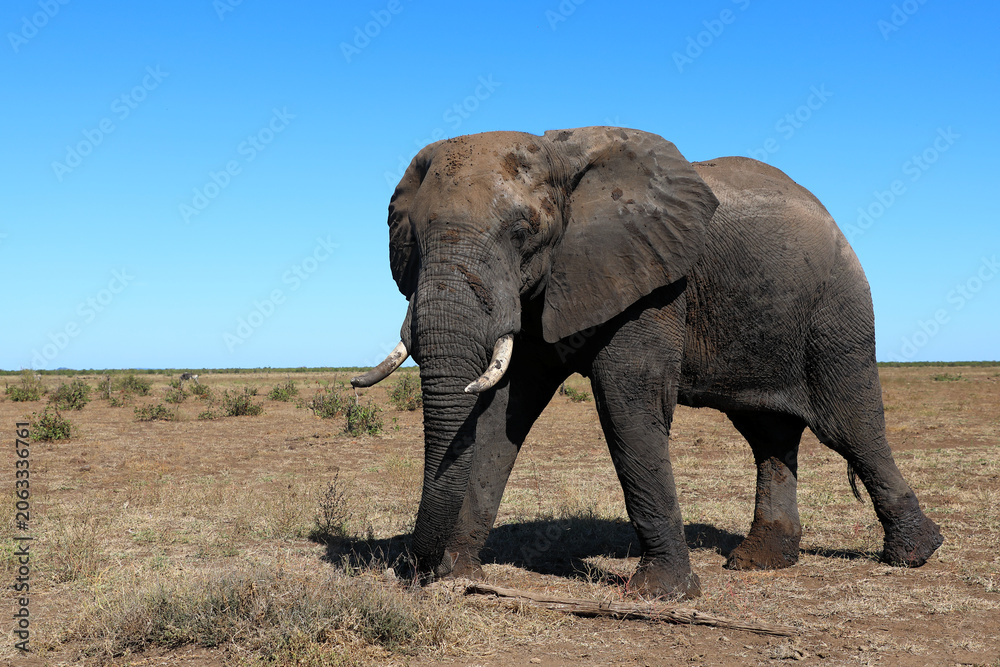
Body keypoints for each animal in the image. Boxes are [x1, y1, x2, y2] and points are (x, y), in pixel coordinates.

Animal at [352, 126, 943, 598]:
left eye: (523, 234)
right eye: (411, 238)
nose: (413, 570)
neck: (561, 157)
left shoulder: (652, 281)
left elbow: (627, 399)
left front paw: (660, 595)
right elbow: (502, 410)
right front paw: (457, 575)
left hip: (837, 310)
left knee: (849, 425)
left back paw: (915, 554)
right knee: (768, 435)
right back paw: (760, 563)